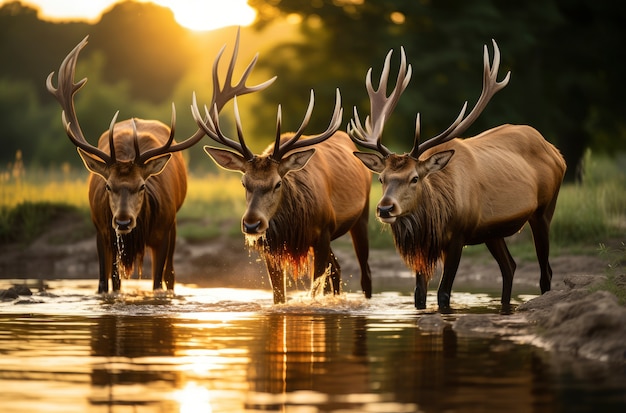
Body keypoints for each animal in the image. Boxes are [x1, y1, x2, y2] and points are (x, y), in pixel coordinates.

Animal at [47, 32, 272, 292]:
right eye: (108, 186)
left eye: (142, 186)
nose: (123, 221)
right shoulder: (101, 231)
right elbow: (105, 284)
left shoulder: (162, 232)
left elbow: (157, 282)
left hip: (172, 223)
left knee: (170, 275)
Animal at [190, 85, 370, 302]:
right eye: (243, 183)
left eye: (277, 183)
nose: (252, 224)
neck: (293, 225)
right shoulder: (273, 245)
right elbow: (279, 296)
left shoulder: (324, 231)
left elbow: (314, 289)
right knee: (336, 268)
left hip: (361, 217)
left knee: (364, 273)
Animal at [348, 41, 564, 308]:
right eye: (381, 178)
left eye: (415, 178)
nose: (385, 208)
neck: (437, 216)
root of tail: (555, 151)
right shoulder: (424, 246)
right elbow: (419, 295)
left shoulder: (458, 236)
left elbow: (443, 294)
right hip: (493, 232)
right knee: (509, 267)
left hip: (544, 210)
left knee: (546, 272)